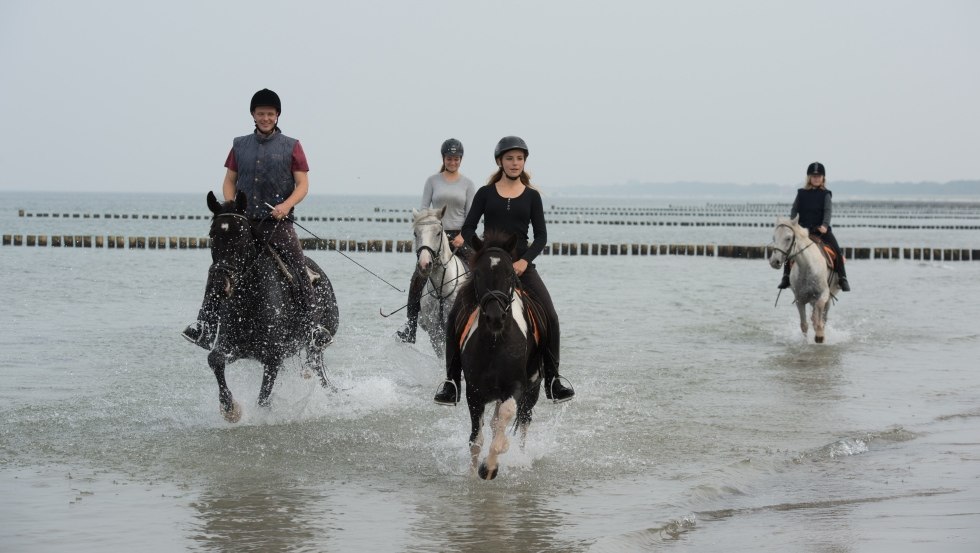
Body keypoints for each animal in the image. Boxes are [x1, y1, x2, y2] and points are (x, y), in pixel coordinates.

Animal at [201, 192, 338, 420]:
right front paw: (229, 408)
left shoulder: (273, 358)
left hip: (314, 347)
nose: (220, 283)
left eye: (241, 235)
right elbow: (215, 359)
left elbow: (263, 399)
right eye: (212, 234)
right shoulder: (233, 347)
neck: (250, 299)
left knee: (321, 375)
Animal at [454, 231, 544, 476]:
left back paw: (521, 458)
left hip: (533, 390)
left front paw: (491, 465)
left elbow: (506, 414)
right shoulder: (474, 392)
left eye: (510, 273)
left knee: (523, 422)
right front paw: (474, 473)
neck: (495, 344)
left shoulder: (516, 386)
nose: (495, 318)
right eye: (477, 273)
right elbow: (476, 439)